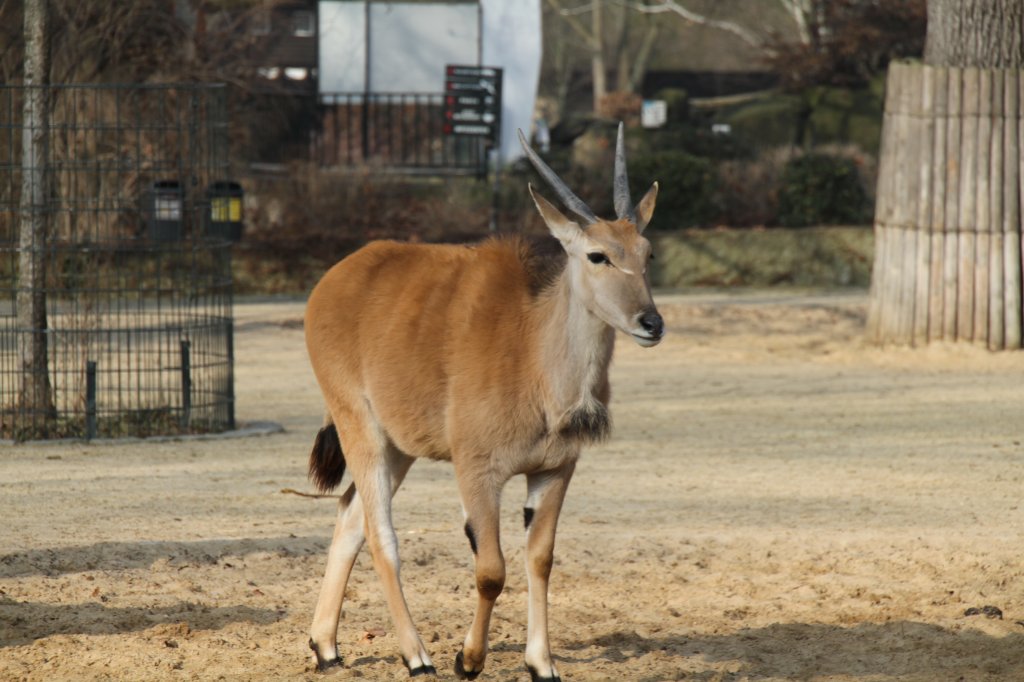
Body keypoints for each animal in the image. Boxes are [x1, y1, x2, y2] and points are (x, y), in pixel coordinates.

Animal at [301, 123, 663, 679]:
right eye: (597, 255)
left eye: (648, 254)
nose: (651, 323)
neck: (533, 353)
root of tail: (333, 280)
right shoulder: (477, 472)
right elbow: (491, 569)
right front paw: (468, 659)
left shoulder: (554, 471)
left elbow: (541, 559)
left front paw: (541, 662)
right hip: (359, 427)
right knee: (381, 534)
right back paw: (416, 655)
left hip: (398, 448)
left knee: (349, 517)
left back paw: (326, 645)